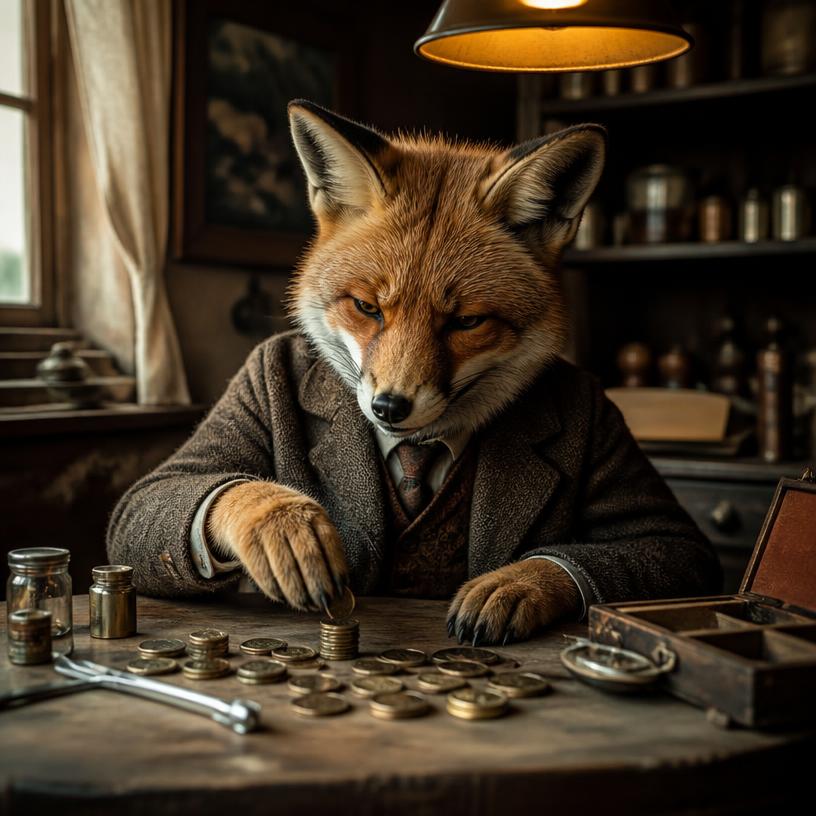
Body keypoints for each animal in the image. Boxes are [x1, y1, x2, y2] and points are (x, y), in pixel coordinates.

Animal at [109, 99, 720, 645]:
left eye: (466, 321)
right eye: (367, 307)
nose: (388, 407)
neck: (420, 448)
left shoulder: (644, 495)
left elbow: (660, 544)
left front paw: (519, 583)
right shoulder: (244, 394)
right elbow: (168, 489)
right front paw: (282, 522)